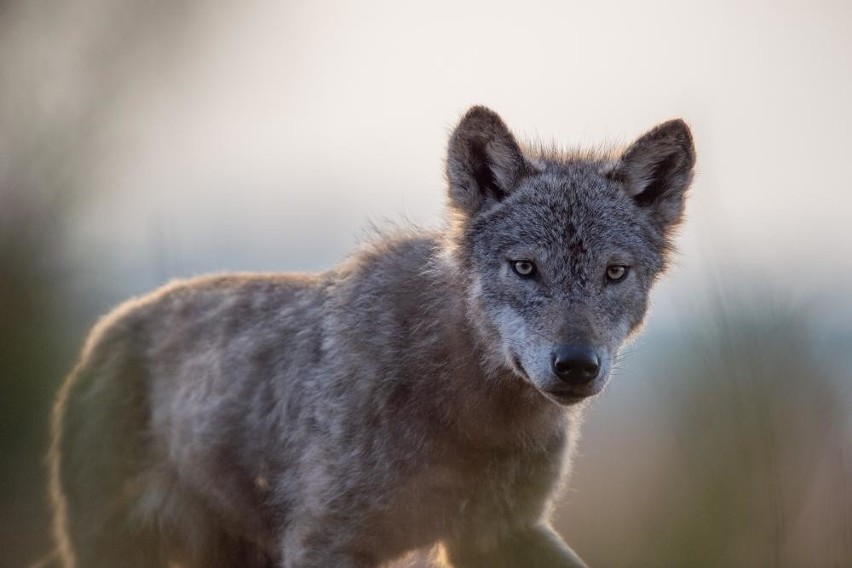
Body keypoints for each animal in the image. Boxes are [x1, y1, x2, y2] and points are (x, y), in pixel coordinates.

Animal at [48, 106, 692, 568]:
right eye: (525, 268)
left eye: (614, 273)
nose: (576, 365)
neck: (469, 416)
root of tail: (104, 329)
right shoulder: (324, 542)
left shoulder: (500, 533)